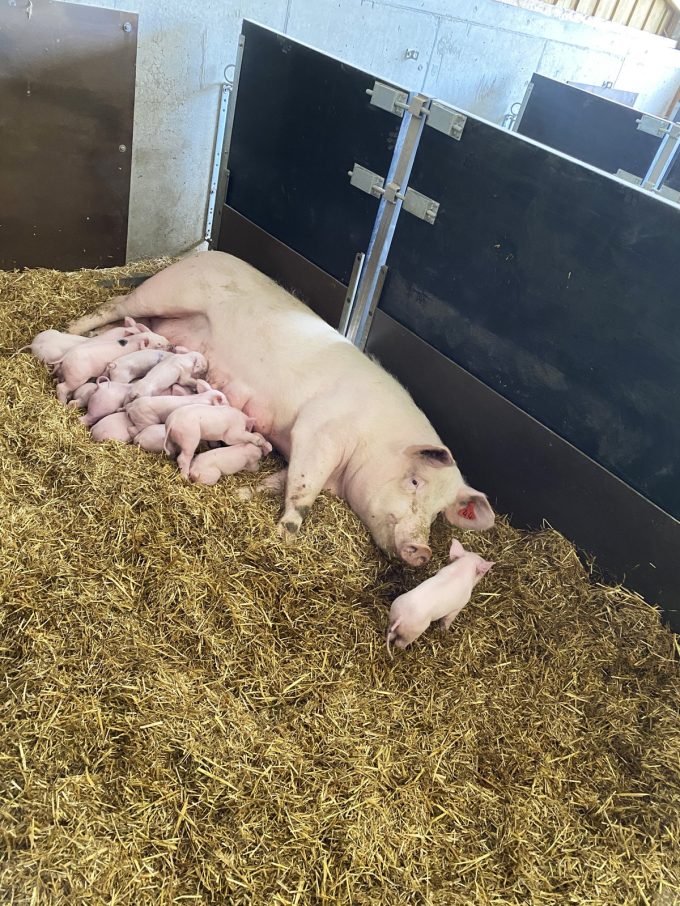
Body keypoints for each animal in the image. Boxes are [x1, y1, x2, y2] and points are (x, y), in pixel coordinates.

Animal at [68, 251, 495, 565]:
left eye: (438, 513)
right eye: (415, 481)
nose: (421, 550)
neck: (375, 440)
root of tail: (207, 253)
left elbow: (280, 479)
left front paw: (245, 494)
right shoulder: (319, 430)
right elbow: (303, 490)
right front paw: (284, 536)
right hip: (168, 290)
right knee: (115, 304)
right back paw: (73, 328)